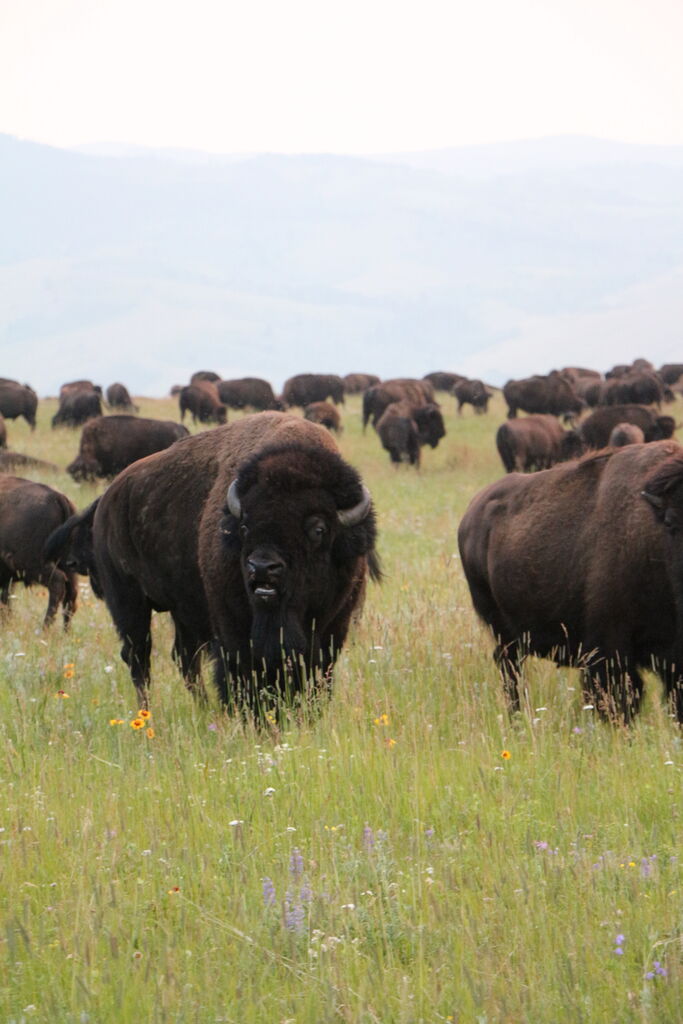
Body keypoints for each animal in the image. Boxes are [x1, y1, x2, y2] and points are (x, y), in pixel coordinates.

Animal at [0, 475, 77, 626]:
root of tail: (57, 496)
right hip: (67, 566)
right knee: (71, 596)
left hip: (32, 564)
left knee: (57, 584)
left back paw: (45, 627)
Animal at [62, 411, 378, 716]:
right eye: (245, 526)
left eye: (318, 529)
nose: (261, 567)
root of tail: (108, 499)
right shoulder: (232, 629)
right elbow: (241, 676)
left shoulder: (331, 629)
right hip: (128, 601)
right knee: (139, 657)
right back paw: (147, 713)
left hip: (181, 610)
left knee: (184, 659)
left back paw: (203, 710)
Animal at [454, 440, 683, 720]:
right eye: (671, 522)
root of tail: (471, 513)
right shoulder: (610, 649)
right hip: (502, 629)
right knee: (510, 666)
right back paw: (517, 716)